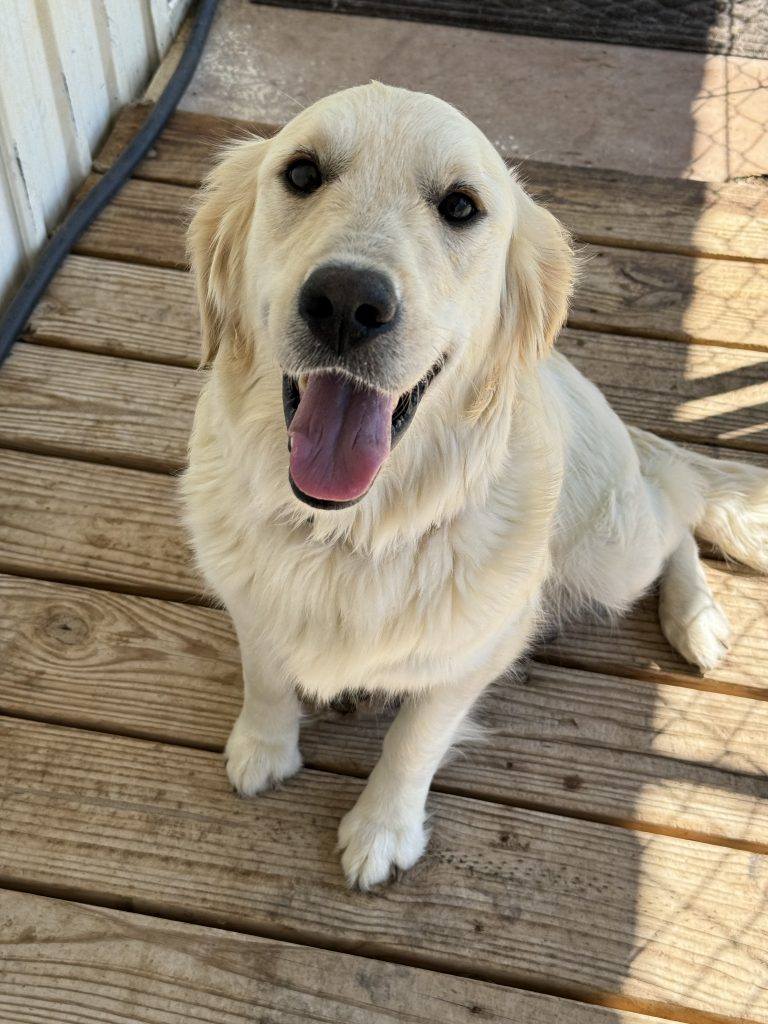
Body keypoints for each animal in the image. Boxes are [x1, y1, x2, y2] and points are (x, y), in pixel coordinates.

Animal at [182, 81, 768, 888]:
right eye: (301, 174)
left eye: (460, 206)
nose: (346, 302)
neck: (351, 527)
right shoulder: (251, 600)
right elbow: (266, 673)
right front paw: (264, 748)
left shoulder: (478, 651)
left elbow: (416, 738)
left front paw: (383, 828)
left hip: (614, 553)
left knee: (675, 502)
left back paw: (696, 618)